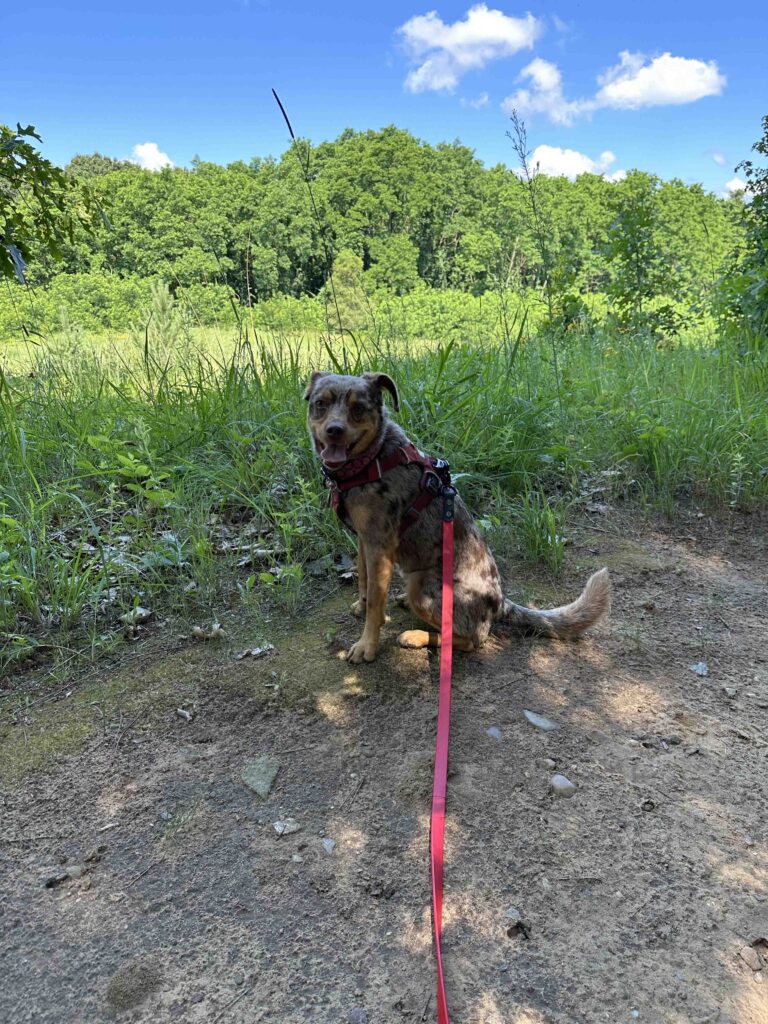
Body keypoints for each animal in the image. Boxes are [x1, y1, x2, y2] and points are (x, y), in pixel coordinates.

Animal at [303, 372, 610, 667]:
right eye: (320, 403)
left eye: (358, 408)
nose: (334, 430)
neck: (370, 460)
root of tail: (500, 603)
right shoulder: (364, 541)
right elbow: (363, 579)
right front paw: (361, 604)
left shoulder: (379, 546)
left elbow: (376, 607)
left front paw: (367, 645)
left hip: (423, 589)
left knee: (471, 639)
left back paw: (416, 635)